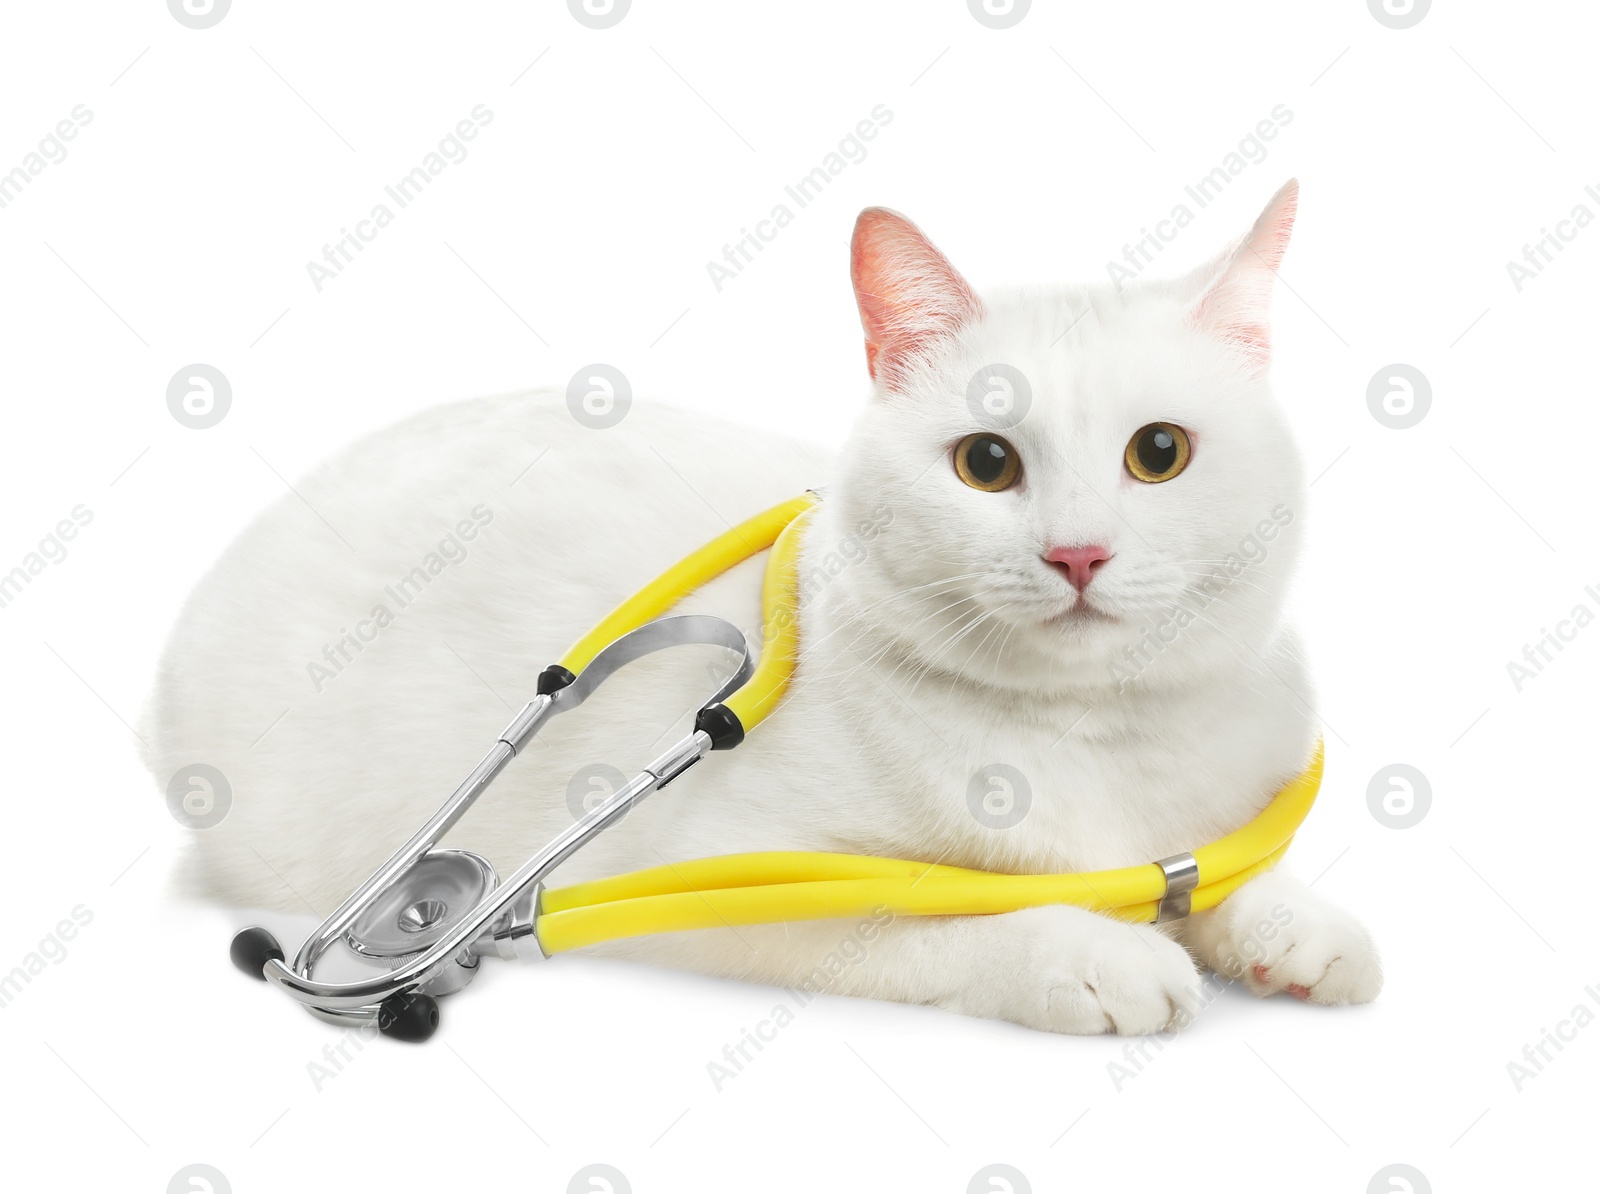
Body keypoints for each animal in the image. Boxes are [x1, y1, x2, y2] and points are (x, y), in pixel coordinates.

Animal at [144, 179, 1382, 1030]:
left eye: (1158, 453)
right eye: (985, 464)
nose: (1077, 552)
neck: (1093, 739)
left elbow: (1225, 872)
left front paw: (1294, 926)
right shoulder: (734, 892)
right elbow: (953, 918)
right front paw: (1095, 953)